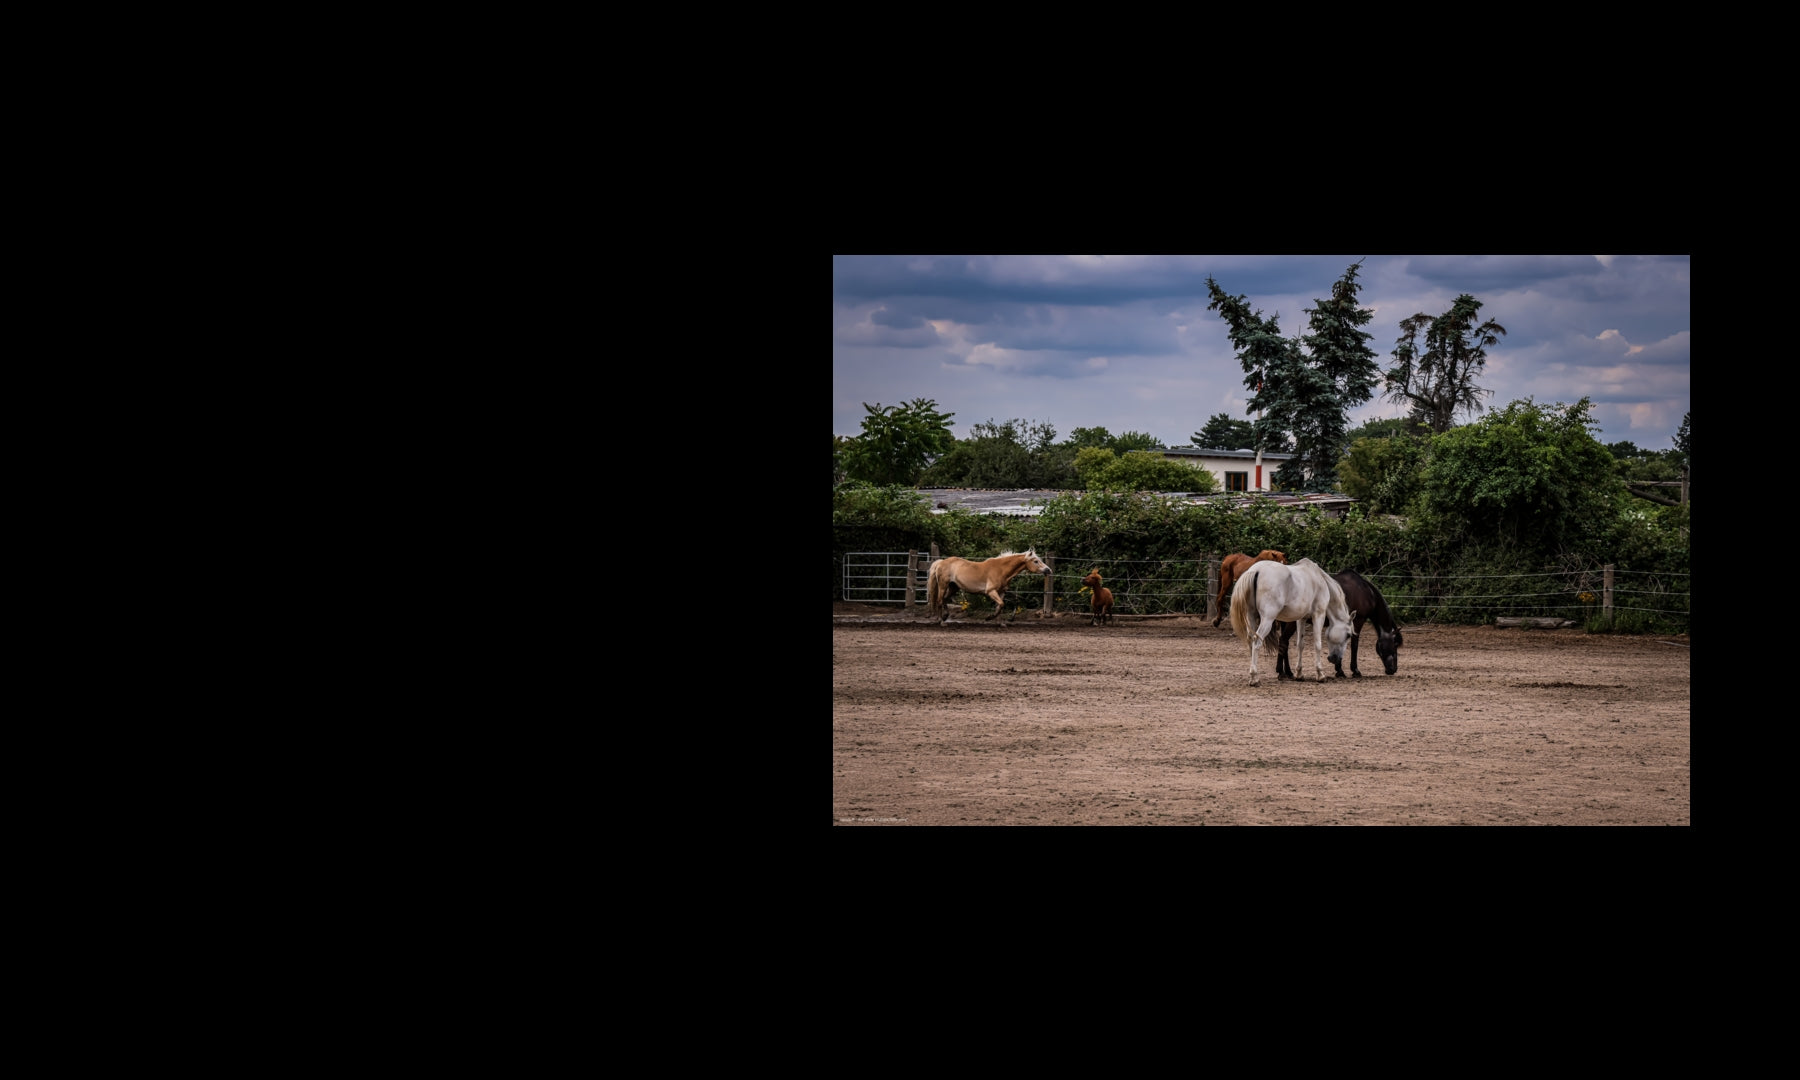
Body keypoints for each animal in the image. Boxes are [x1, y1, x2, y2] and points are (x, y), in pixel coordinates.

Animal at [1228, 557, 1354, 686]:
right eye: (1348, 635)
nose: (1335, 659)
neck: (1319, 579)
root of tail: (1256, 570)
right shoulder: (1319, 615)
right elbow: (1318, 644)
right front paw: (1320, 674)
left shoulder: (1301, 619)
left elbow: (1300, 645)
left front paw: (1299, 673)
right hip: (1267, 620)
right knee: (1256, 642)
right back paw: (1254, 677)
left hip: (1251, 616)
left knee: (1250, 641)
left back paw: (1254, 676)